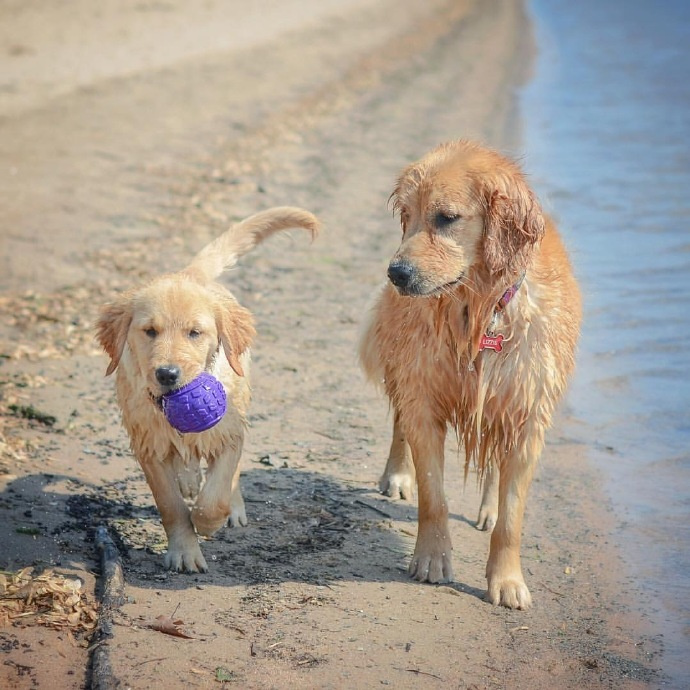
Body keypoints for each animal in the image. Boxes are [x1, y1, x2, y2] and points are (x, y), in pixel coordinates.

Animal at [95, 206, 318, 568]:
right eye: (150, 331)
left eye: (195, 333)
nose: (167, 374)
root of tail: (190, 275)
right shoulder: (148, 445)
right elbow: (170, 505)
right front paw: (184, 550)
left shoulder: (229, 432)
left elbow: (216, 496)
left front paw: (207, 521)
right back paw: (189, 480)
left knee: (231, 475)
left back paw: (231, 506)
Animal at [360, 140, 580, 608]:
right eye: (407, 214)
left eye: (446, 217)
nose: (395, 274)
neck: (480, 308)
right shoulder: (423, 393)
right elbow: (434, 497)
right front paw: (431, 559)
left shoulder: (528, 411)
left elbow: (513, 517)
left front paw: (508, 581)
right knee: (399, 423)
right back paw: (397, 474)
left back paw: (488, 510)